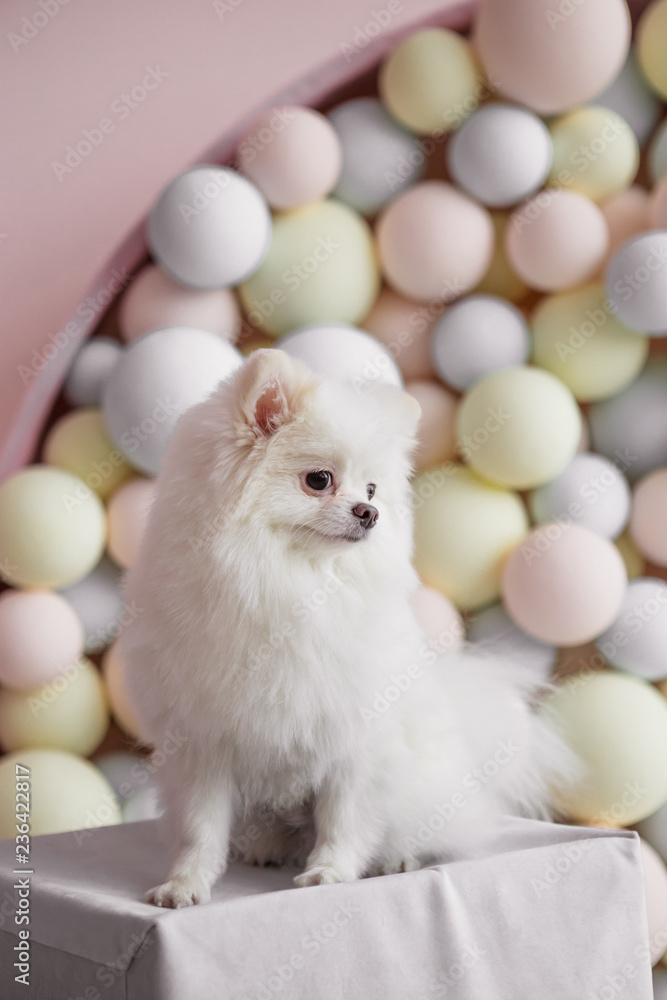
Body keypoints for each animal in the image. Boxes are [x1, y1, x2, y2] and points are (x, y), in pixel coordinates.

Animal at [121, 350, 576, 908]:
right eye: (319, 480)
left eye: (373, 488)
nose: (370, 512)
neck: (293, 583)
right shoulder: (203, 743)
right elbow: (199, 828)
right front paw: (184, 884)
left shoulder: (354, 738)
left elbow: (343, 817)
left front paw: (330, 874)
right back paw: (267, 846)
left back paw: (395, 858)